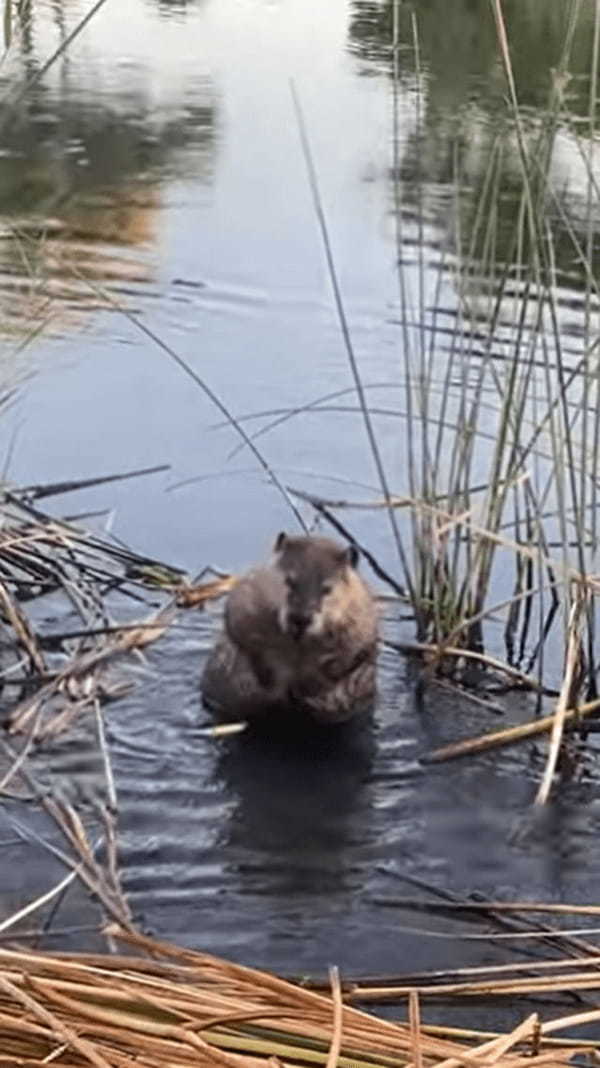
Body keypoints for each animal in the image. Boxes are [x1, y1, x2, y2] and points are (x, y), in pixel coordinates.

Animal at [200, 534, 377, 726]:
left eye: (327, 589)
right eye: (289, 581)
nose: (300, 618)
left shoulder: (360, 611)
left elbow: (354, 651)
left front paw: (313, 689)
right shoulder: (249, 593)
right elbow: (243, 631)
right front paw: (267, 684)